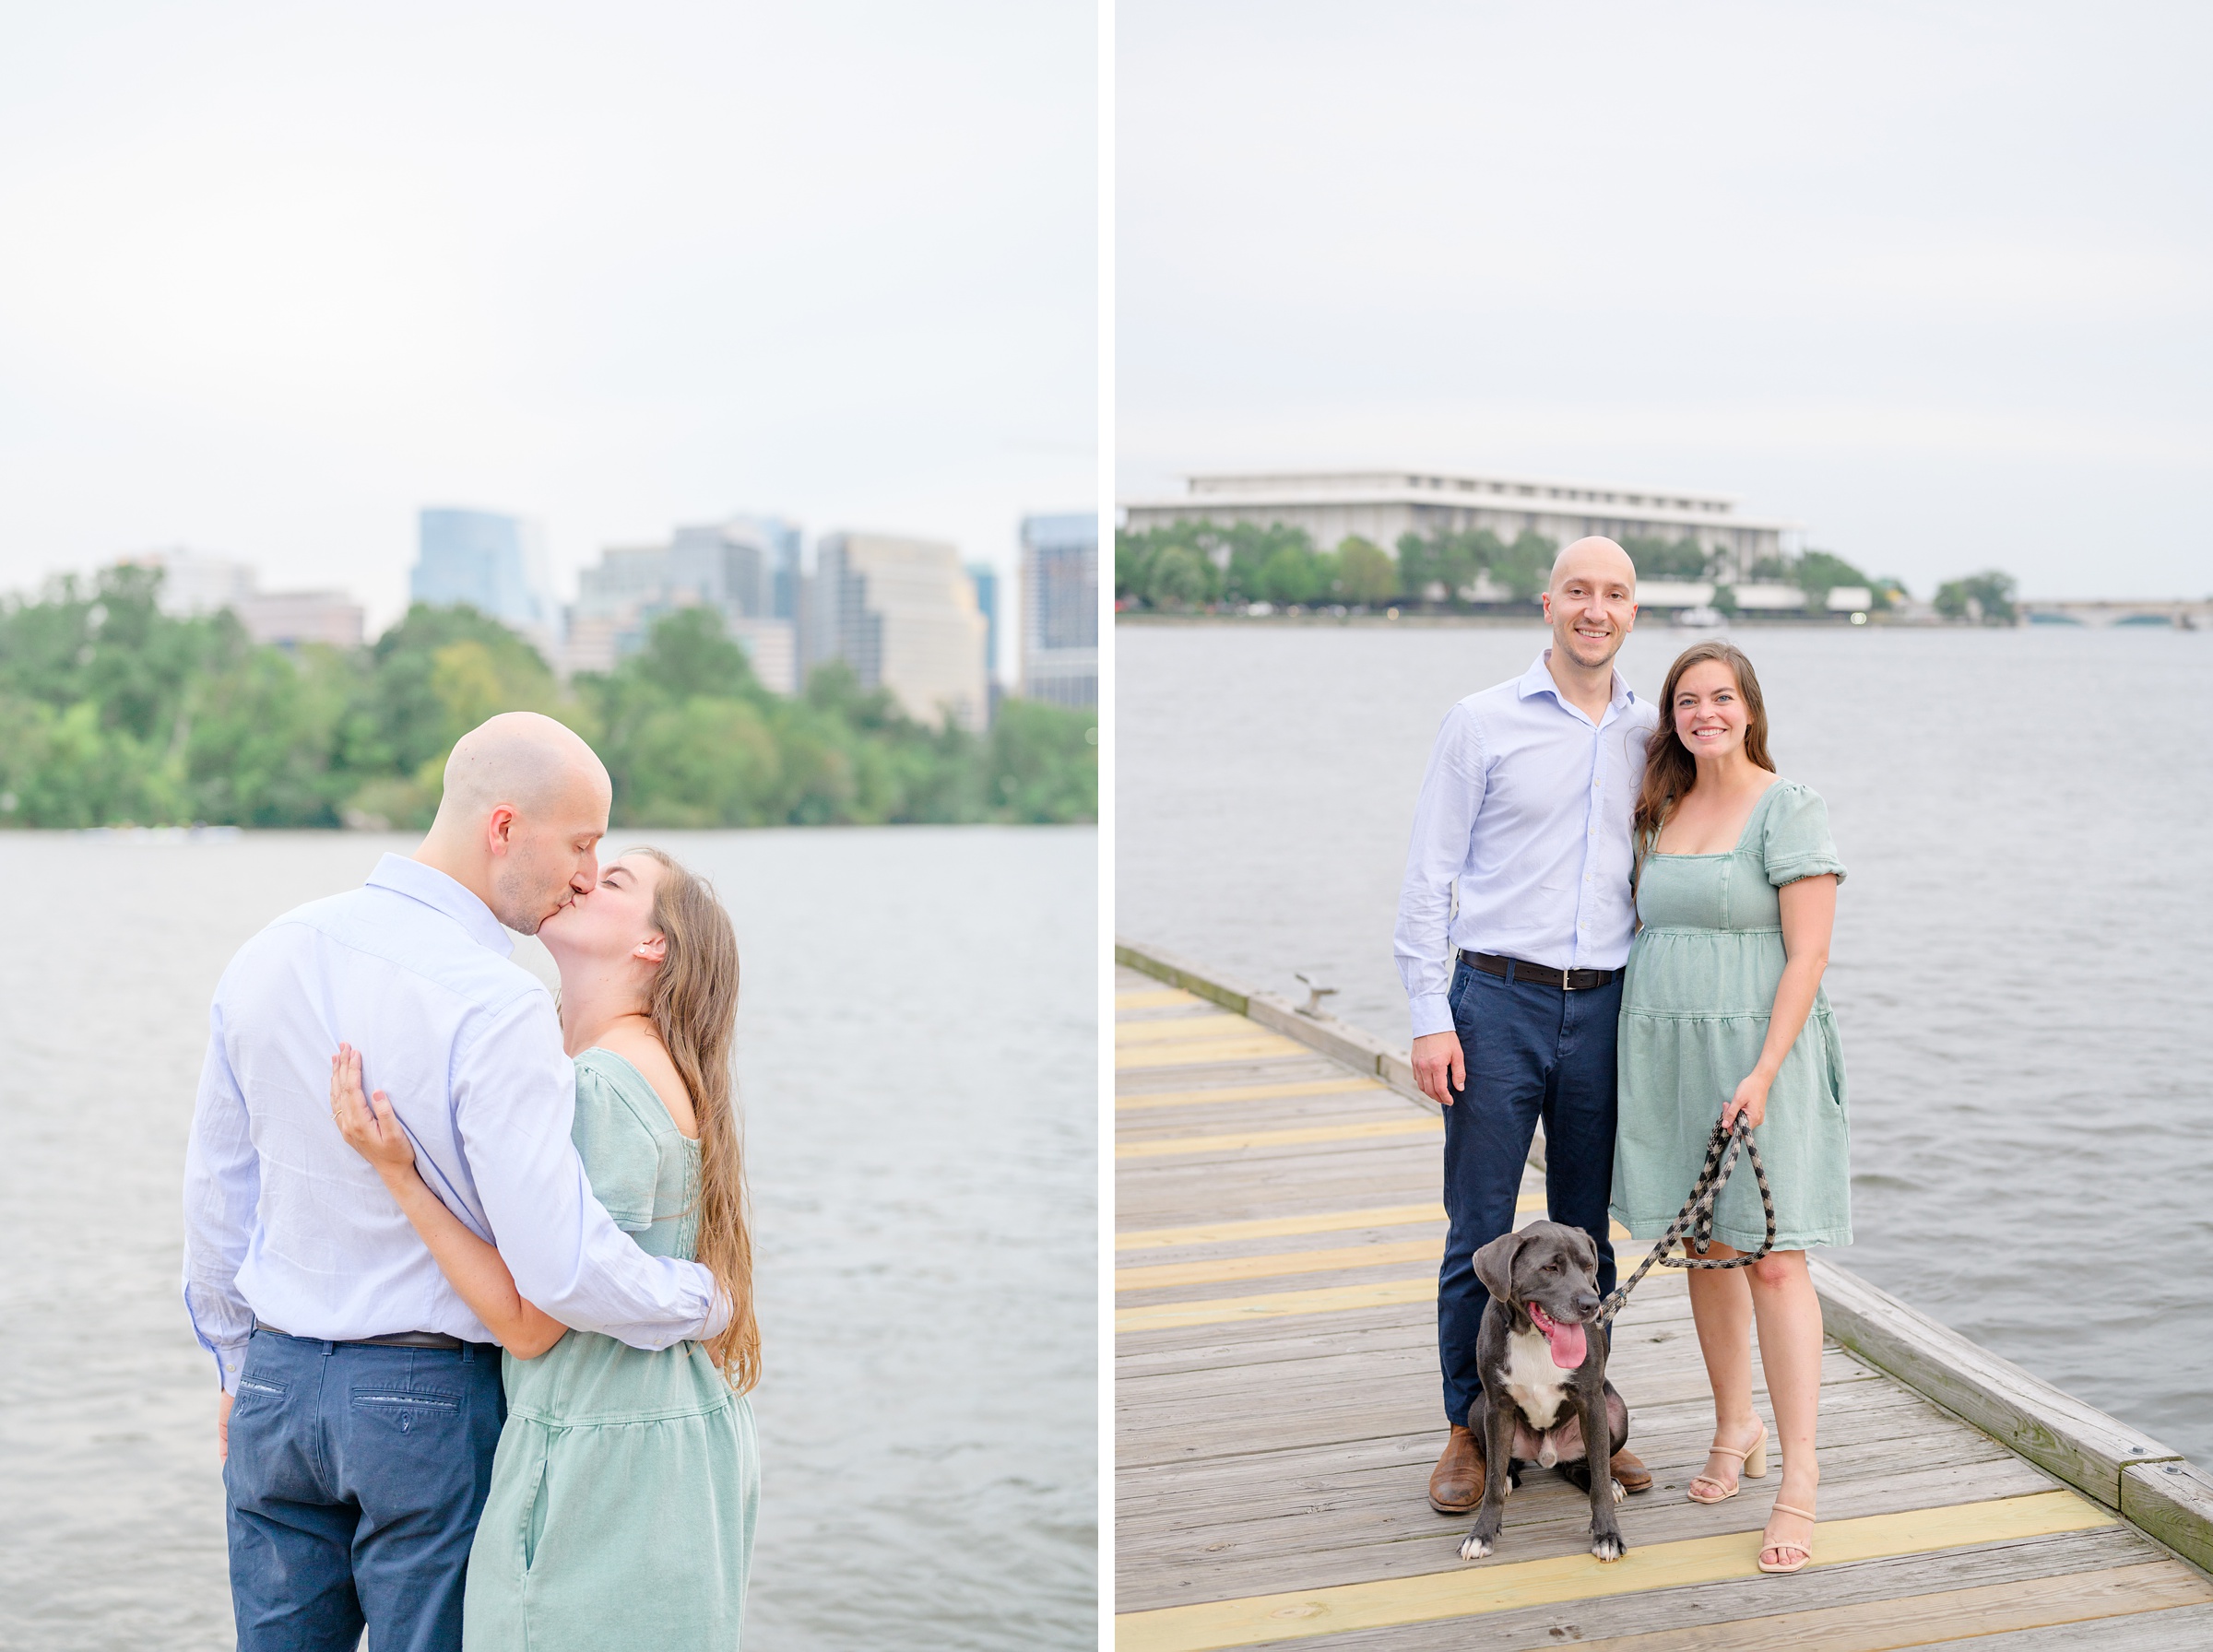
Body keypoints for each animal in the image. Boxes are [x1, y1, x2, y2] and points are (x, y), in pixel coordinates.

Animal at [1461, 1229, 1638, 1565]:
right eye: (1549, 1268)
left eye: (1588, 1266)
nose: (1591, 1304)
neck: (1534, 1338)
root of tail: (1546, 1455)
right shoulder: (1497, 1407)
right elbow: (1491, 1483)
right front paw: (1482, 1534)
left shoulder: (1592, 1404)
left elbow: (1600, 1474)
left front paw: (1607, 1535)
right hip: (1478, 1410)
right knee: (1502, 1461)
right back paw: (1508, 1475)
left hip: (1616, 1412)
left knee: (1581, 1467)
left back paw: (1608, 1481)